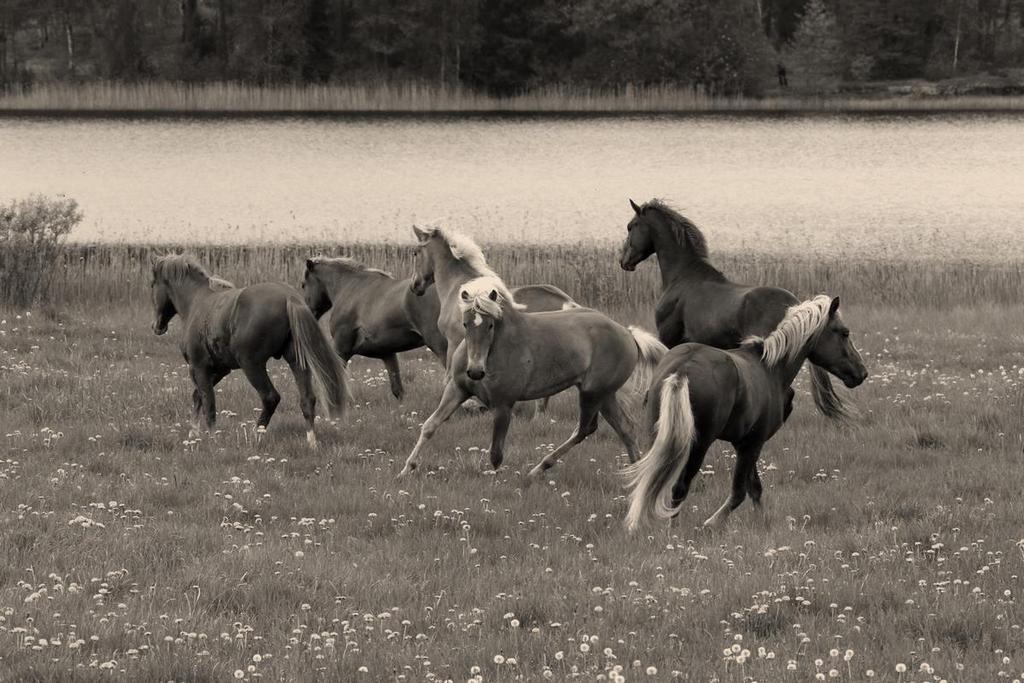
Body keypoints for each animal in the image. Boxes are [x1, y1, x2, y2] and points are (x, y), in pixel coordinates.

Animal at [147, 253, 348, 450]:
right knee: (307, 399)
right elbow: (198, 396)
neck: (197, 302)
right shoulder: (221, 369)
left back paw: (254, 436)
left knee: (270, 398)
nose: (157, 326)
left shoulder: (200, 367)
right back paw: (311, 443)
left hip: (252, 365)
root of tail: (289, 297)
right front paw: (193, 435)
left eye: (152, 284)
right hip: (296, 362)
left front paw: (211, 440)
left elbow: (208, 403)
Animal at [395, 274, 667, 481]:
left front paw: (496, 481)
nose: (475, 371)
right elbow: (430, 425)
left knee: (585, 429)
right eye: (465, 324)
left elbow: (496, 453)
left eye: (490, 325)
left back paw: (538, 469)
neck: (494, 351)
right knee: (625, 429)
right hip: (605, 395)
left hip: (592, 393)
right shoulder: (457, 390)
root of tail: (628, 334)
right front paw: (406, 469)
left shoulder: (503, 405)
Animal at [618, 294, 868, 528]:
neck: (770, 368)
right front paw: (713, 522)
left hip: (659, 438)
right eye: (844, 333)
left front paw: (762, 522)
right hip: (698, 446)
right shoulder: (752, 444)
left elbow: (754, 488)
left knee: (652, 481)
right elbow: (740, 492)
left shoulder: (743, 444)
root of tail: (682, 369)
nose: (862, 373)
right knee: (678, 488)